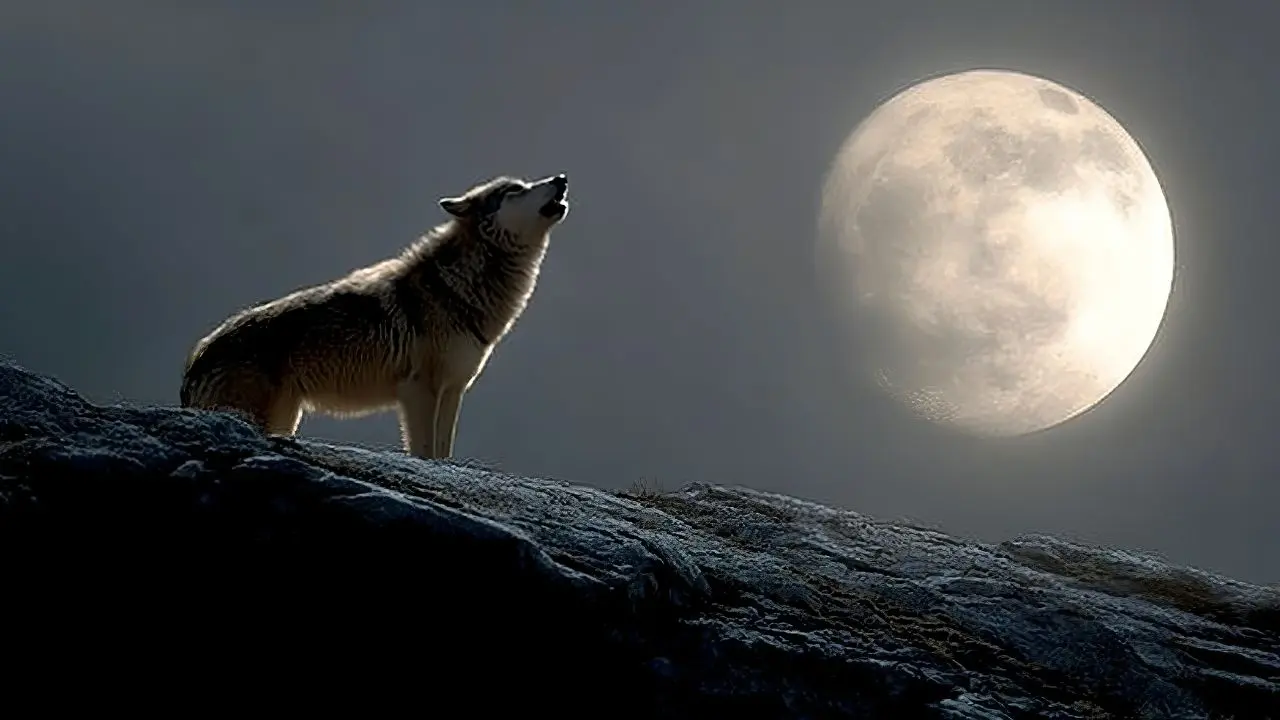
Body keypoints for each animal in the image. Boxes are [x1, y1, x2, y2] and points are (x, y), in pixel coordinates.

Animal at [180, 173, 570, 459]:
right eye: (515, 190)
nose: (562, 177)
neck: (458, 287)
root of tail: (195, 360)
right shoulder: (419, 391)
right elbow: (424, 453)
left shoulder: (452, 391)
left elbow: (443, 455)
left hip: (286, 419)